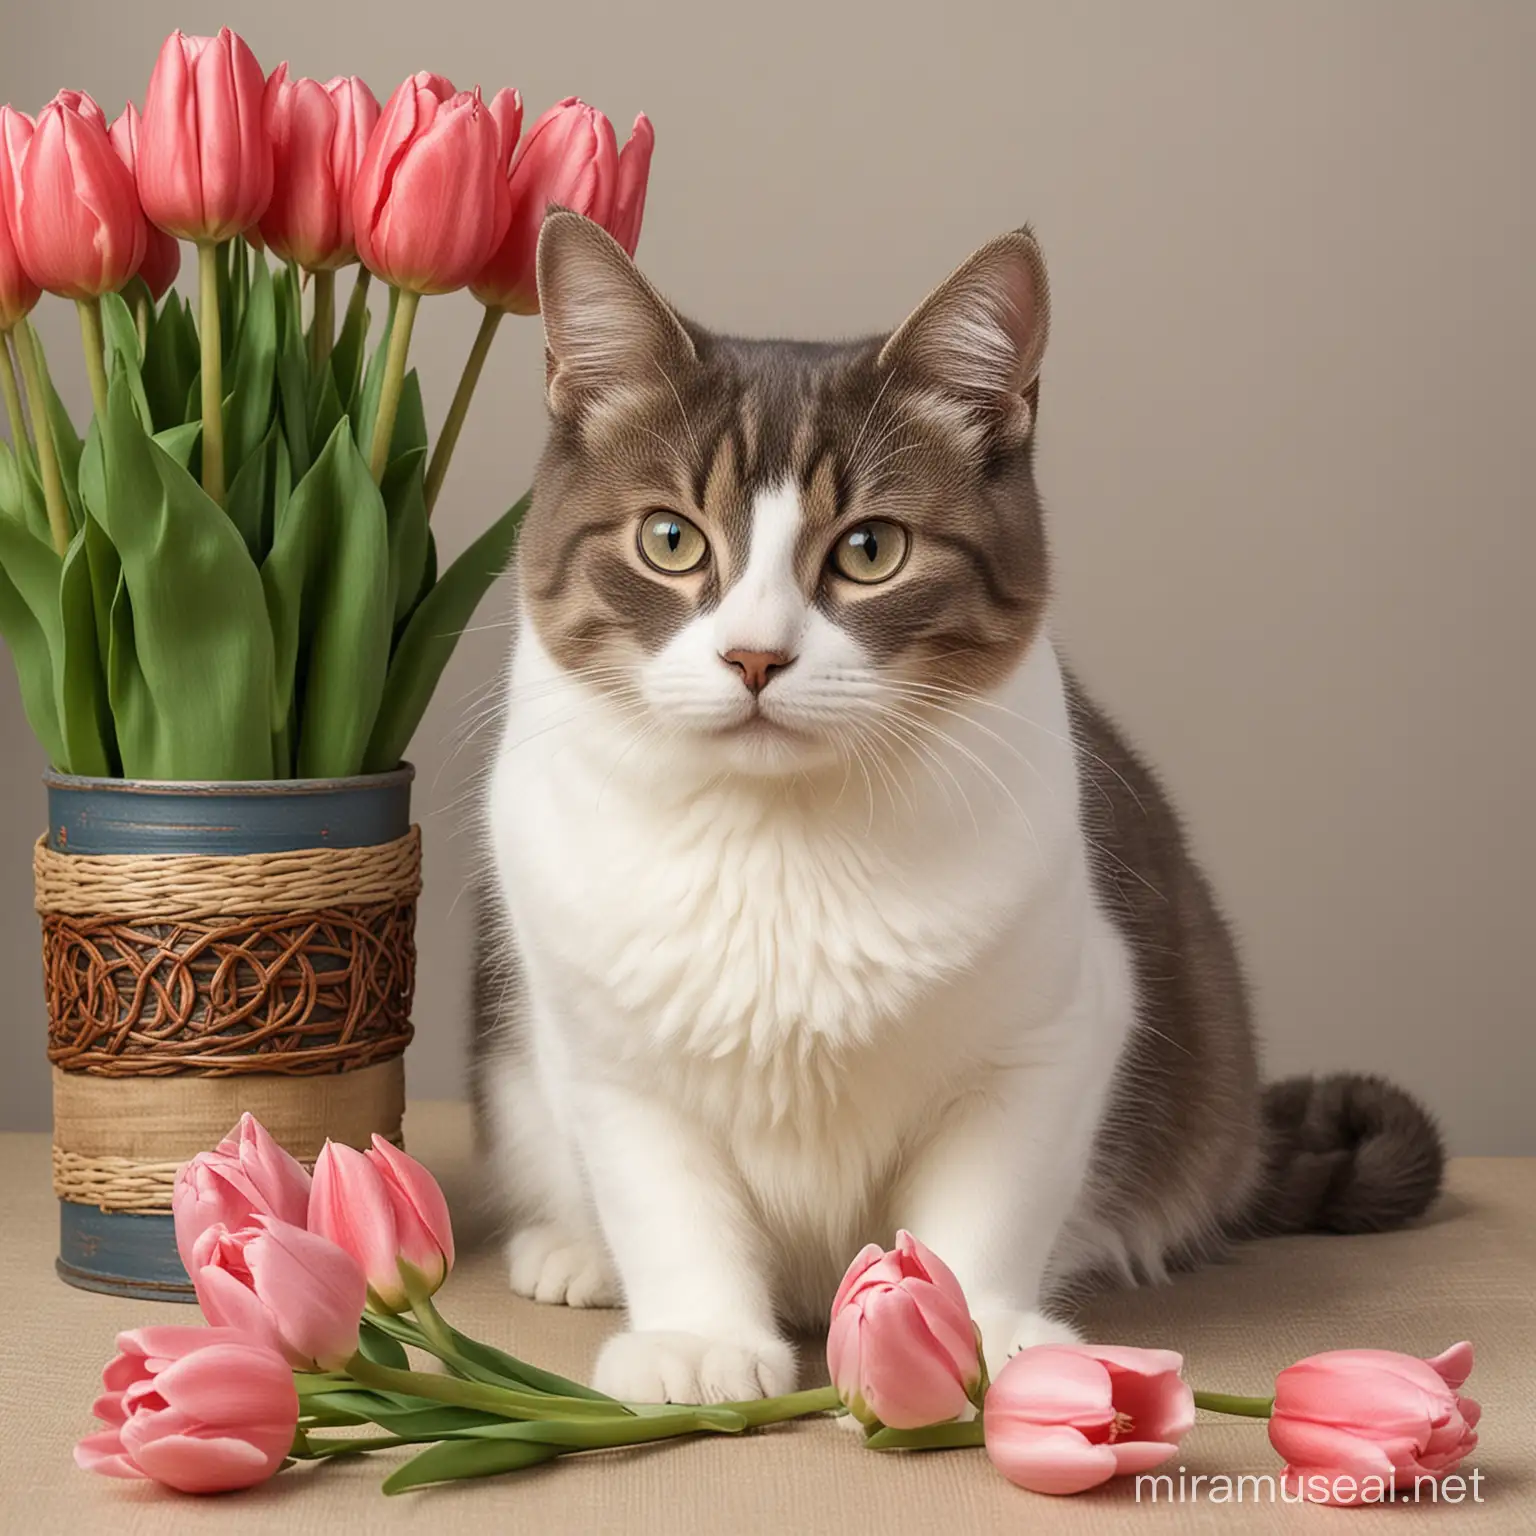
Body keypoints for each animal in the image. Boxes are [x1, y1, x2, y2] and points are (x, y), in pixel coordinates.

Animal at [466, 213, 1437, 1406]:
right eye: (670, 539)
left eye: (870, 550)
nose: (756, 656)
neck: (778, 839)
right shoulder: (608, 1056)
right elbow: (667, 1202)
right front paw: (699, 1340)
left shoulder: (1057, 1026)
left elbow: (986, 1200)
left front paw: (966, 1330)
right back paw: (574, 1251)